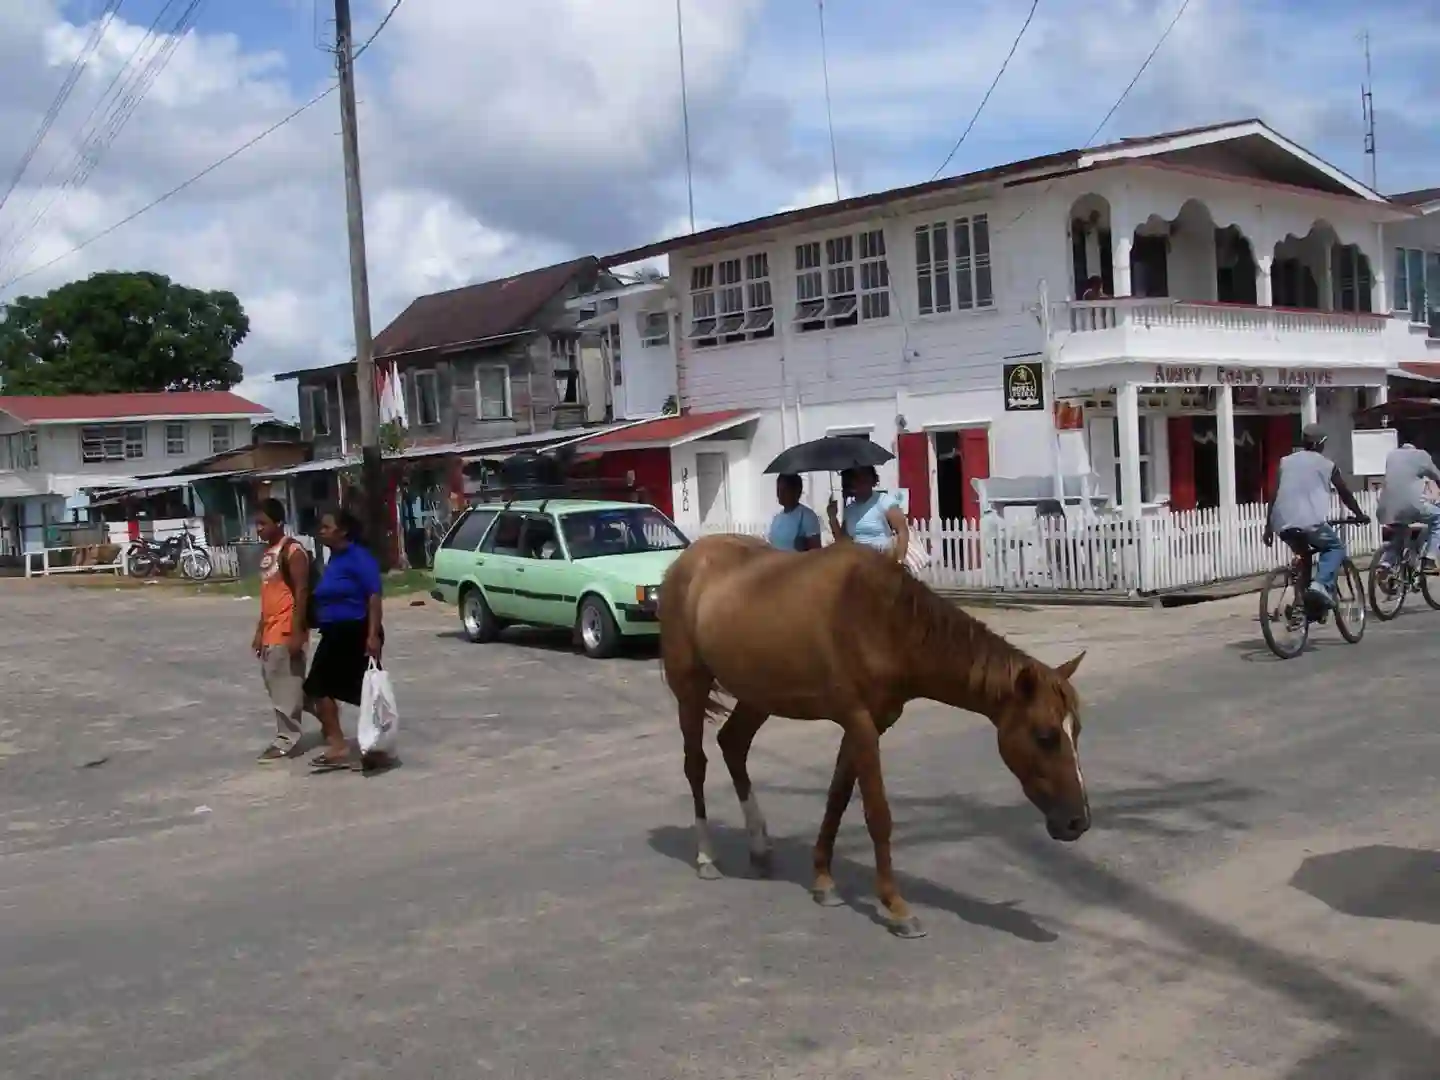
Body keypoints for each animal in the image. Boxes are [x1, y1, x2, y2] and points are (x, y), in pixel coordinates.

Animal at [659, 538, 1082, 944]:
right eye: (1044, 736)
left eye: (1076, 730)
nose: (1078, 822)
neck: (882, 618)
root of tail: (686, 562)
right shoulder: (859, 721)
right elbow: (877, 814)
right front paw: (897, 908)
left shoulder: (872, 724)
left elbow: (837, 797)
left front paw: (823, 880)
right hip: (690, 688)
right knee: (696, 765)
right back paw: (706, 857)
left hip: (757, 696)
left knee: (733, 744)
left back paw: (760, 850)